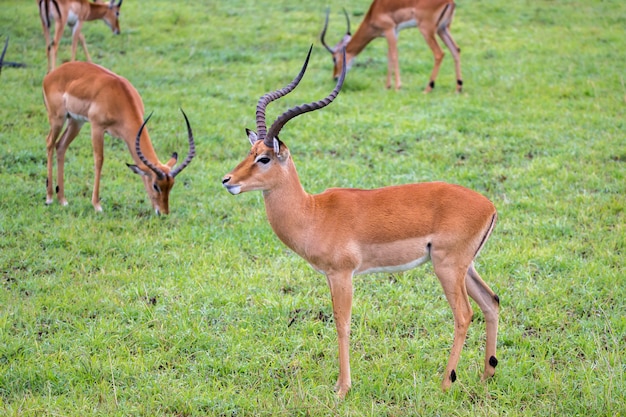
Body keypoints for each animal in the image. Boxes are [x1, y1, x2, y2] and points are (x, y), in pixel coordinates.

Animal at [42, 61, 194, 214]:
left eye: (171, 185)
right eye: (155, 185)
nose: (163, 213)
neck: (119, 97)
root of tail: (50, 76)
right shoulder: (97, 127)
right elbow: (99, 160)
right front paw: (97, 205)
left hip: (76, 122)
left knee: (60, 146)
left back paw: (62, 200)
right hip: (58, 118)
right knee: (49, 143)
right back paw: (49, 198)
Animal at [219, 45, 498, 396]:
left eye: (264, 158)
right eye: (249, 152)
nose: (227, 180)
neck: (313, 213)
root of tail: (489, 206)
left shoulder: (343, 274)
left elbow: (342, 323)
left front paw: (342, 388)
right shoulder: (328, 275)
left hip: (447, 266)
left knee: (464, 314)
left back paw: (446, 382)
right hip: (466, 267)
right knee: (491, 302)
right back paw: (486, 376)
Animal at [322, 0, 458, 92]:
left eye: (334, 59)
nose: (335, 77)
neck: (374, 12)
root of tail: (450, 2)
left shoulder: (389, 30)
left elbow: (394, 55)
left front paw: (397, 87)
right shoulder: (394, 32)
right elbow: (389, 56)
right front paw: (387, 86)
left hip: (426, 29)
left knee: (439, 53)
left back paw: (428, 88)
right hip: (443, 29)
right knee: (456, 50)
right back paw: (459, 87)